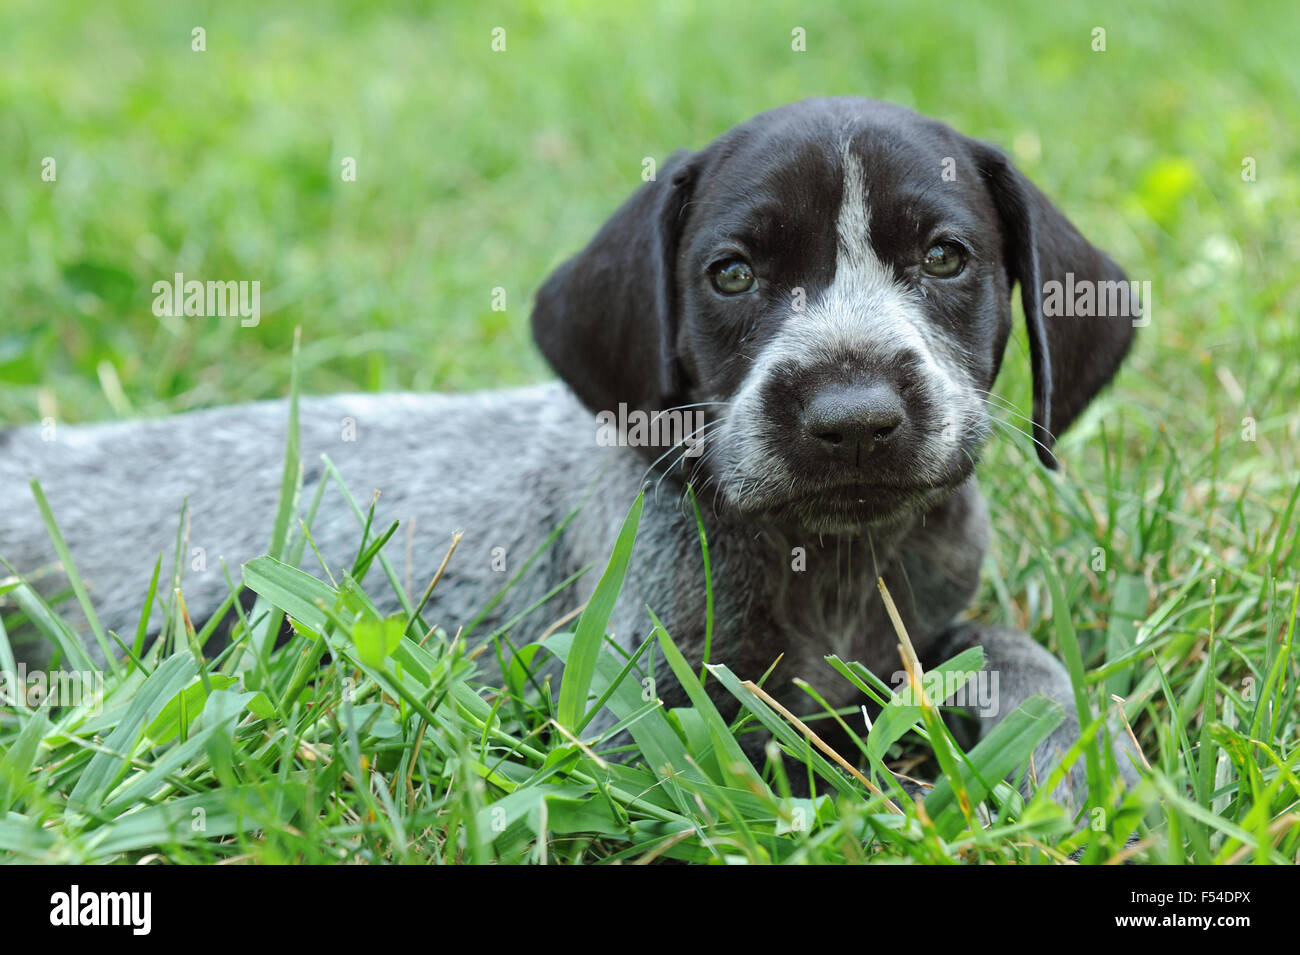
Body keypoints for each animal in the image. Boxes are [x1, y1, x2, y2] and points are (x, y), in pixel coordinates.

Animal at [0, 97, 1138, 805]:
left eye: (944, 258)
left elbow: (1007, 646)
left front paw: (1078, 747)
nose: (852, 417)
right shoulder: (640, 720)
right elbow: (782, 746)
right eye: (732, 274)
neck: (829, 562)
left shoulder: (925, 619)